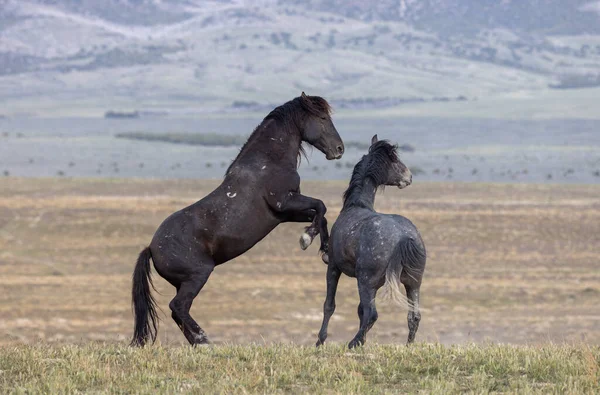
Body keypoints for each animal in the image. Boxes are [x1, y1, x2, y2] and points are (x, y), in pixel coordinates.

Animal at [132, 93, 346, 346]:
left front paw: (322, 249)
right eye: (322, 118)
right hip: (198, 275)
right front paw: (307, 239)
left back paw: (198, 343)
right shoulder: (285, 202)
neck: (268, 162)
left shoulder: (284, 214)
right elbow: (321, 205)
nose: (339, 149)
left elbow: (319, 215)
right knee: (178, 307)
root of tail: (152, 248)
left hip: (182, 283)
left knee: (178, 312)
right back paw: (204, 340)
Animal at [314, 136, 426, 350]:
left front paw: (320, 341)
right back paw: (407, 346)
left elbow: (329, 305)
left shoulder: (333, 268)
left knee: (373, 314)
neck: (357, 204)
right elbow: (360, 311)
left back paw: (353, 342)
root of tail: (404, 238)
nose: (409, 177)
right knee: (413, 316)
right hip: (412, 283)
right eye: (395, 160)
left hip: (365, 281)